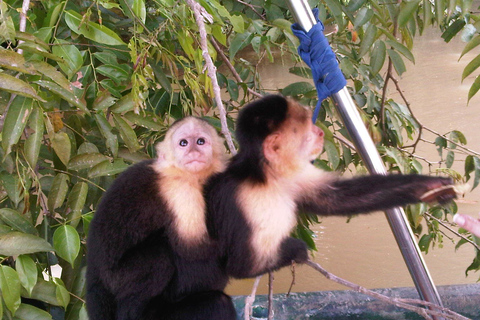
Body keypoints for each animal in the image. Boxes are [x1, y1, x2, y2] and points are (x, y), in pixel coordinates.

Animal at [86, 117, 236, 320]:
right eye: (183, 143)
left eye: (200, 141)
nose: (193, 152)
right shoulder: (180, 190)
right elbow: (193, 248)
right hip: (115, 279)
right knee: (161, 256)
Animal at [203, 94, 458, 282]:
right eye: (307, 130)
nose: (319, 132)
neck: (266, 178)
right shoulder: (240, 200)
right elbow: (243, 266)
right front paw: (297, 249)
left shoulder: (293, 175)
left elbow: (334, 199)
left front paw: (430, 187)